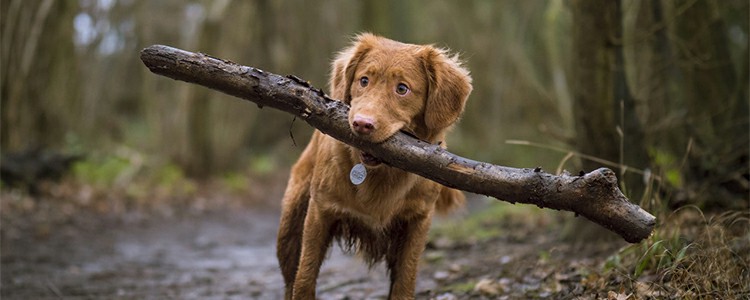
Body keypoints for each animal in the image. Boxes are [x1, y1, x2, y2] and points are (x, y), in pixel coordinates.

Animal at [276, 33, 476, 300]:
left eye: (402, 89)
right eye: (364, 80)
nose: (362, 124)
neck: (380, 174)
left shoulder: (417, 221)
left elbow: (404, 282)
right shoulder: (320, 212)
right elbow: (305, 277)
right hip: (290, 225)